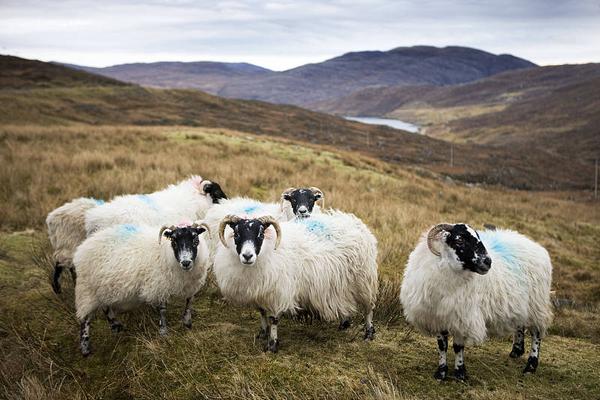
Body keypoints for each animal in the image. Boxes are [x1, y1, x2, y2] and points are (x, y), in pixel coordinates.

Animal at [73, 222, 211, 356]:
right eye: (174, 241)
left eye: (195, 239)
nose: (186, 262)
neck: (165, 252)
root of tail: (82, 248)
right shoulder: (159, 285)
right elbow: (162, 310)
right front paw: (163, 332)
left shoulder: (191, 284)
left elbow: (189, 302)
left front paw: (187, 322)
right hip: (86, 289)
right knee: (85, 319)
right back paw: (85, 348)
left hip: (102, 288)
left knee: (105, 307)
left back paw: (116, 327)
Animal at [213, 209, 378, 354]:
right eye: (236, 233)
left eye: (260, 234)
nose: (247, 256)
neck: (268, 250)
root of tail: (355, 222)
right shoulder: (261, 291)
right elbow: (262, 312)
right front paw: (262, 333)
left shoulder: (277, 292)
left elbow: (273, 319)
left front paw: (272, 345)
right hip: (341, 281)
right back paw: (344, 324)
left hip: (364, 280)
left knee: (369, 308)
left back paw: (369, 333)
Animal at [400, 223, 552, 380]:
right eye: (460, 240)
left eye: (478, 237)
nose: (488, 262)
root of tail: (535, 245)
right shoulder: (438, 317)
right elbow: (442, 346)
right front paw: (441, 373)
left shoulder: (461, 317)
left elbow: (458, 347)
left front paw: (460, 373)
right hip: (520, 304)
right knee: (520, 324)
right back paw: (516, 351)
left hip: (537, 304)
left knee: (536, 333)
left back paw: (531, 366)